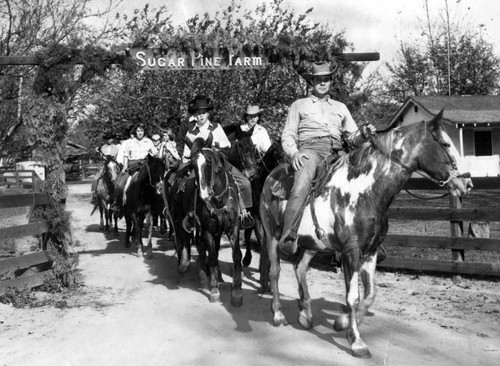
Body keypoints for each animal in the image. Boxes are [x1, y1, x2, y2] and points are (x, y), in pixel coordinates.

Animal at [258, 111, 472, 358]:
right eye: (446, 144)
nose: (467, 182)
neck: (366, 192)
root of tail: (271, 176)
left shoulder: (370, 252)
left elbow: (370, 295)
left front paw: (342, 323)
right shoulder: (351, 252)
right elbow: (353, 296)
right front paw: (357, 342)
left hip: (312, 244)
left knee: (299, 268)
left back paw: (305, 315)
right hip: (272, 237)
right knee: (275, 272)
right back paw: (278, 315)